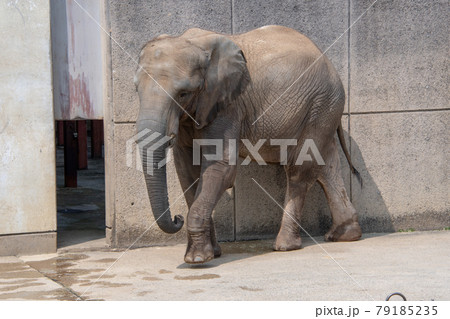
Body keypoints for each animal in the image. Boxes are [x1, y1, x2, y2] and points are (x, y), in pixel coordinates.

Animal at [134, 25, 362, 264]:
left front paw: (196, 259)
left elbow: (221, 168)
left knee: (300, 169)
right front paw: (212, 253)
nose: (176, 218)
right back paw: (344, 235)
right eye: (136, 90)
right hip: (323, 109)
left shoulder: (228, 106)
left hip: (320, 104)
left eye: (183, 93)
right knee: (326, 165)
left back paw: (285, 245)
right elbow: (186, 171)